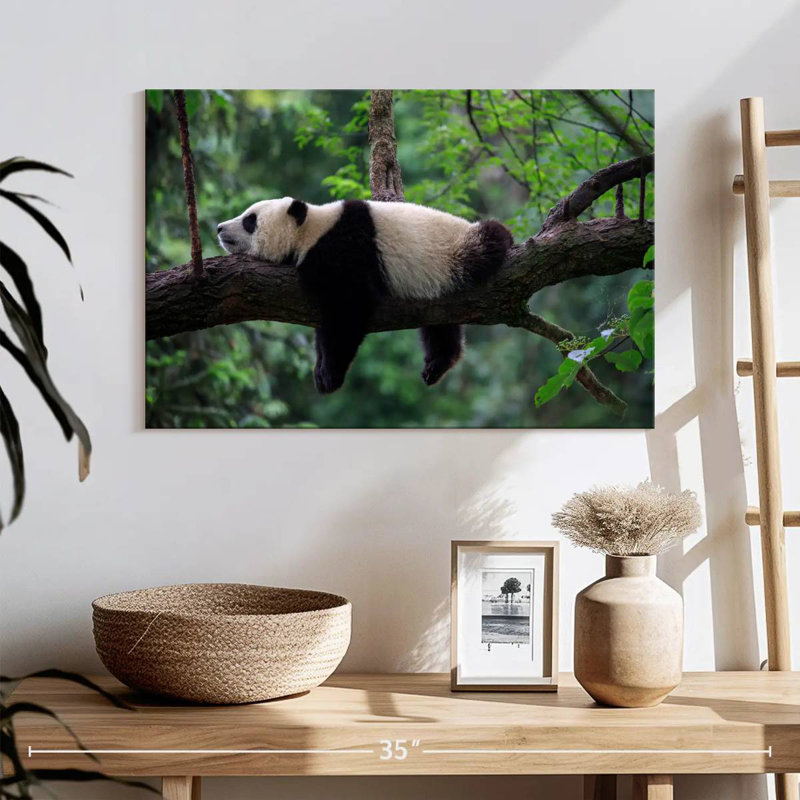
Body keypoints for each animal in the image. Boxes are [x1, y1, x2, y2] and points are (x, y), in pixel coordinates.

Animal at [217, 197, 513, 394]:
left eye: (250, 220)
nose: (219, 228)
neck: (311, 229)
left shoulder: (345, 250)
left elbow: (348, 310)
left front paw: (329, 375)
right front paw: (320, 369)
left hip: (457, 250)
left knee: (490, 239)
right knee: (440, 326)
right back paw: (437, 365)